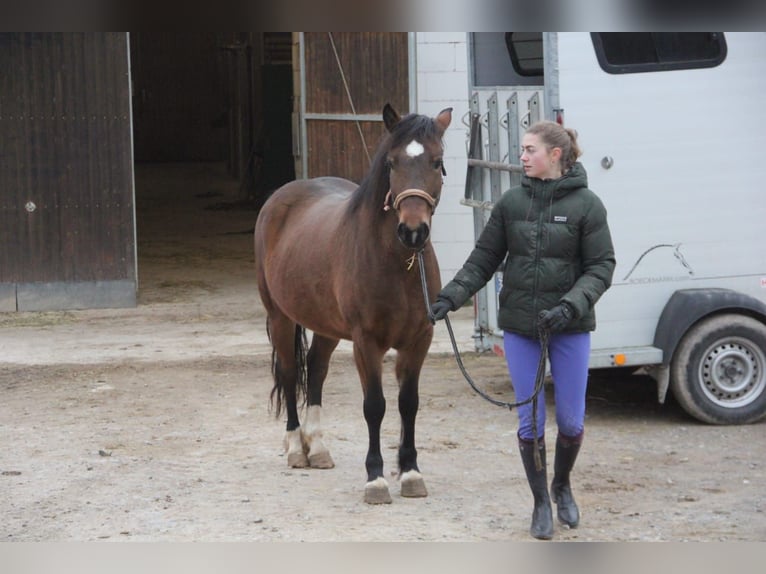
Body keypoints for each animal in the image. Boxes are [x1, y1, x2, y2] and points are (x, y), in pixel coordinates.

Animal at [255, 103, 452, 504]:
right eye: (391, 162)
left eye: (437, 162)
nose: (412, 231)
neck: (398, 264)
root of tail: (280, 198)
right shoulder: (366, 342)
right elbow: (374, 406)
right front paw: (375, 479)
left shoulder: (418, 340)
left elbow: (408, 403)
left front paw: (410, 472)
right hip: (280, 316)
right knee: (289, 373)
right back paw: (296, 448)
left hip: (325, 325)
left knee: (316, 370)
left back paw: (317, 448)